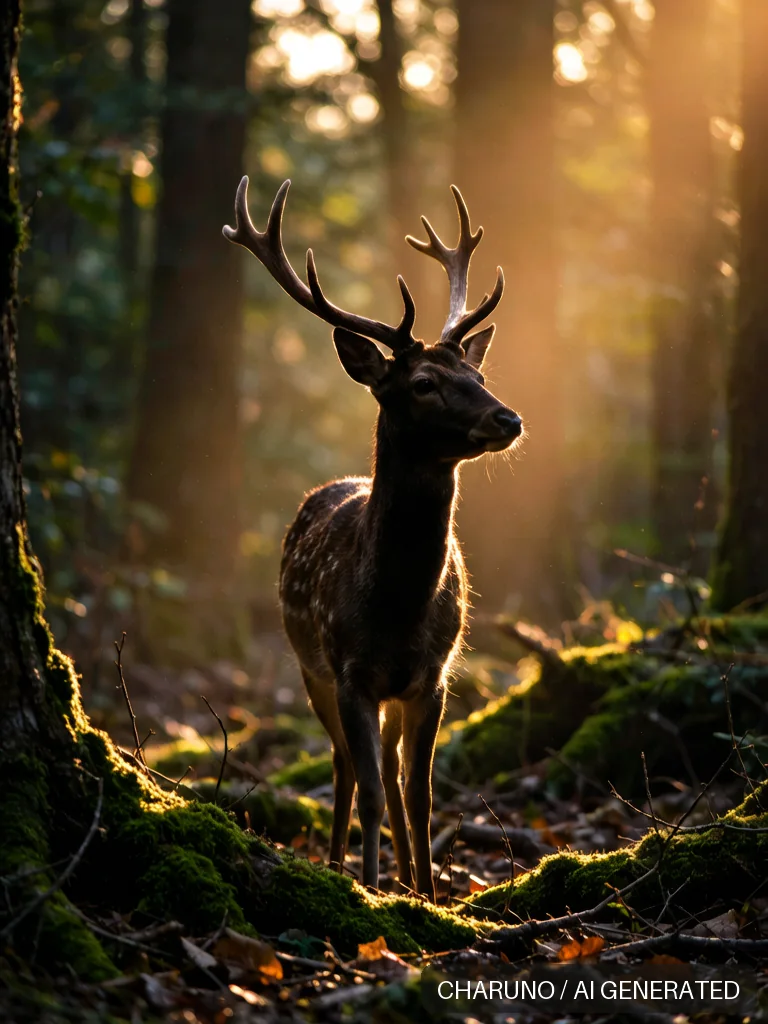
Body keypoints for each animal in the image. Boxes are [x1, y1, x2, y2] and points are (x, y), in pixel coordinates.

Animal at [223, 177, 522, 901]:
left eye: (479, 377)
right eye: (423, 383)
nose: (509, 418)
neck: (396, 607)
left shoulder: (434, 675)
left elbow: (418, 793)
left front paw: (430, 896)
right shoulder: (350, 669)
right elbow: (372, 796)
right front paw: (369, 887)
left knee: (384, 766)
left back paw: (408, 878)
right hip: (310, 667)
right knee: (344, 767)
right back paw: (339, 867)